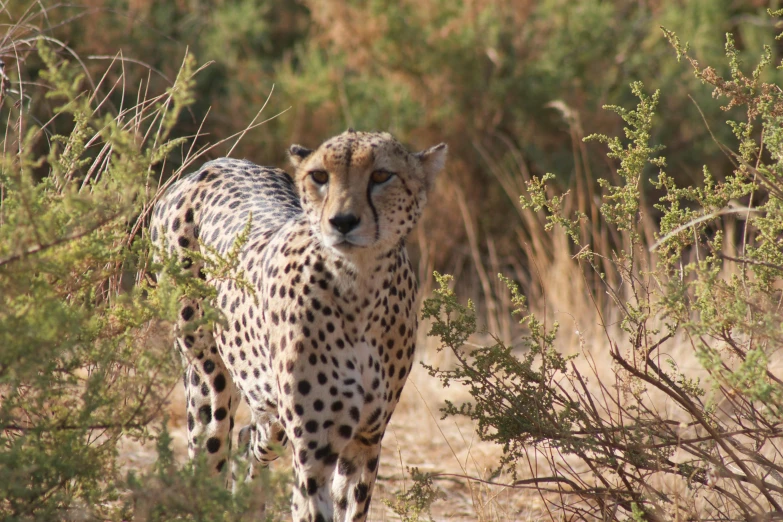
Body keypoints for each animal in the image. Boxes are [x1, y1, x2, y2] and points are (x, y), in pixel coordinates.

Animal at [150, 130, 448, 520]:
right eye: (320, 176)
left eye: (382, 175)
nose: (342, 221)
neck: (360, 286)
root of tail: (211, 165)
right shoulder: (313, 450)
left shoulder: (365, 441)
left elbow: (350, 507)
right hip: (208, 382)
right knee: (209, 459)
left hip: (269, 408)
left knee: (250, 439)